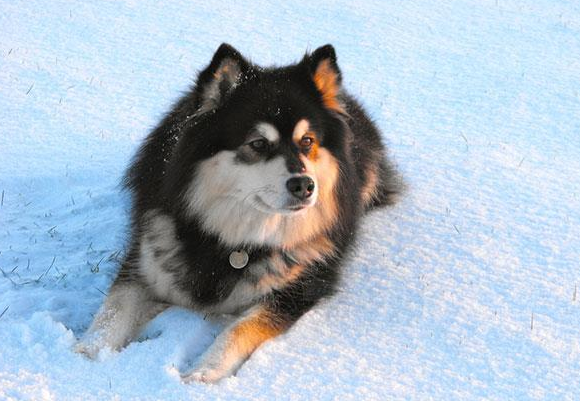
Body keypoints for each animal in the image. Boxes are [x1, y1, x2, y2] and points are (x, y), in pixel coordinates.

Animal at [76, 43, 404, 382]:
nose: (304, 185)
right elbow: (113, 309)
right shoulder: (145, 261)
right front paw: (82, 356)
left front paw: (203, 372)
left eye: (307, 141)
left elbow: (239, 328)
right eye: (258, 144)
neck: (230, 240)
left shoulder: (294, 291)